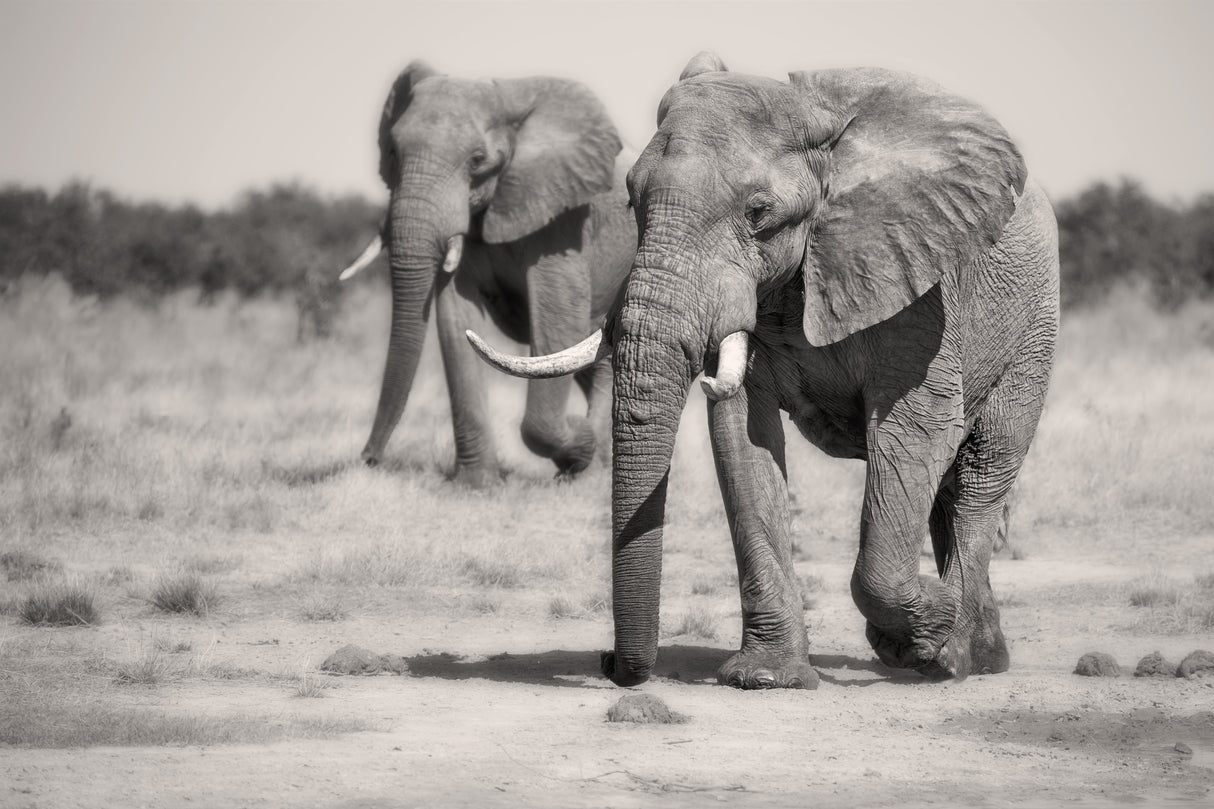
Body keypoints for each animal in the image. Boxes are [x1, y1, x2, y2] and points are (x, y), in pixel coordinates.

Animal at [338, 60, 636, 486]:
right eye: (392, 152)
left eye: (477, 160)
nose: (368, 458)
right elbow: (454, 319)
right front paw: (475, 484)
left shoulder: (563, 221)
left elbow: (557, 316)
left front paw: (581, 443)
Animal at [469, 53, 1059, 689]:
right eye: (631, 203)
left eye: (759, 214)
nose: (608, 663)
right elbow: (742, 436)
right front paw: (767, 677)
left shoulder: (920, 291)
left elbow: (912, 431)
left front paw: (921, 635)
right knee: (953, 488)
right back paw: (977, 653)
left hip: (1032, 331)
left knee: (981, 471)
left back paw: (956, 656)